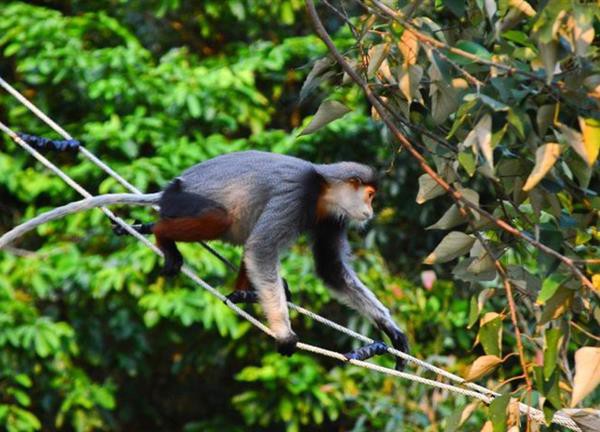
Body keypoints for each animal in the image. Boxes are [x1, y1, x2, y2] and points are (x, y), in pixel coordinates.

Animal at [0, 151, 408, 368]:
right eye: (370, 195)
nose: (371, 211)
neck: (322, 191)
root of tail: (168, 189)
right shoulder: (297, 197)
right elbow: (262, 250)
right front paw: (285, 333)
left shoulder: (330, 218)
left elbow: (331, 271)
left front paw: (392, 331)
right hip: (187, 202)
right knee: (225, 220)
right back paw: (162, 234)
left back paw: (244, 294)